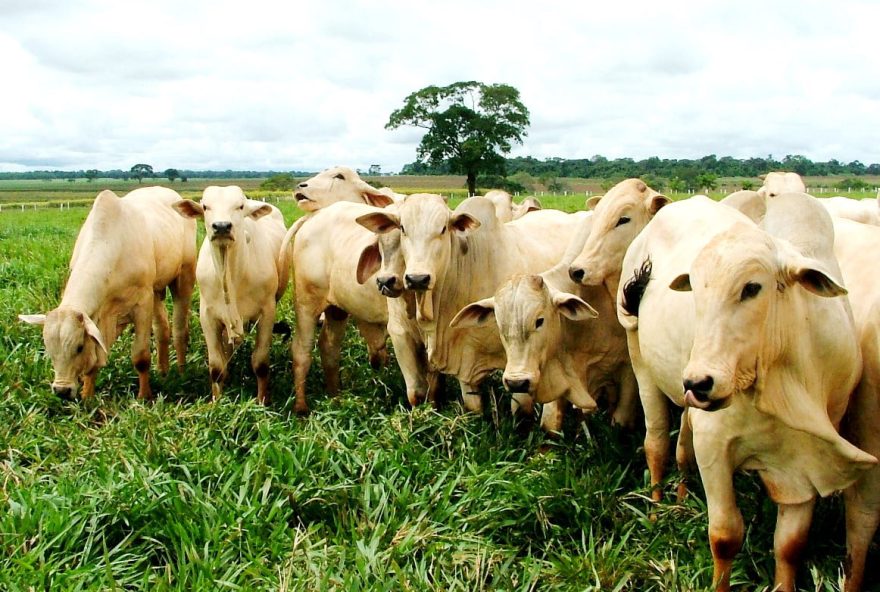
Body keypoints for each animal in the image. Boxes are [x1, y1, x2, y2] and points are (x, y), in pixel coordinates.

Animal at [19, 188, 199, 402]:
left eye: (79, 347)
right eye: (48, 348)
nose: (62, 391)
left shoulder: (142, 302)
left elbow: (141, 356)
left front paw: (144, 396)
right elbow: (94, 361)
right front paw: (87, 395)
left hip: (183, 277)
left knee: (180, 329)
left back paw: (181, 371)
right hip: (156, 290)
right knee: (162, 328)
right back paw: (163, 371)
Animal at [169, 187, 286, 404]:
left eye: (240, 206)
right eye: (205, 206)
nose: (222, 226)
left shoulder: (267, 311)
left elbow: (260, 364)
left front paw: (262, 401)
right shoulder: (208, 315)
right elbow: (216, 367)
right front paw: (217, 401)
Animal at [624, 192, 876, 588]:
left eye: (752, 288)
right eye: (696, 289)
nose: (698, 381)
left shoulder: (805, 462)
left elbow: (790, 544)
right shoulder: (714, 446)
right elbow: (725, 536)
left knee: (682, 450)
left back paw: (680, 501)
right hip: (640, 358)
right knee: (657, 442)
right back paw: (656, 508)